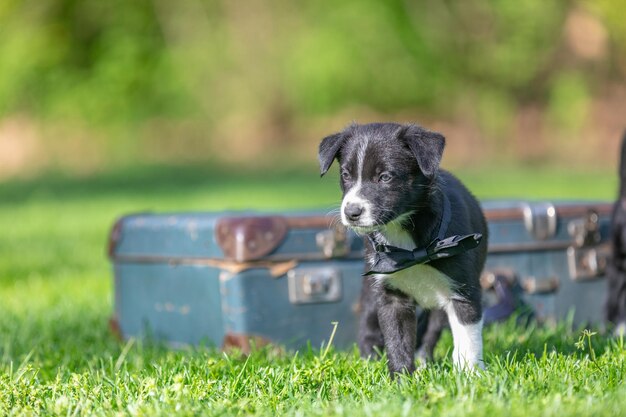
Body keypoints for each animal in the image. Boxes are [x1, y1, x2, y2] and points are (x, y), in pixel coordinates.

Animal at [316, 122, 488, 376]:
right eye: (346, 175)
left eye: (385, 177)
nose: (351, 212)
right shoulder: (391, 296)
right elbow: (397, 341)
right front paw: (401, 379)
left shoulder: (464, 290)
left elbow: (468, 341)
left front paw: (470, 375)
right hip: (370, 294)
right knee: (368, 331)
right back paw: (369, 365)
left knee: (429, 336)